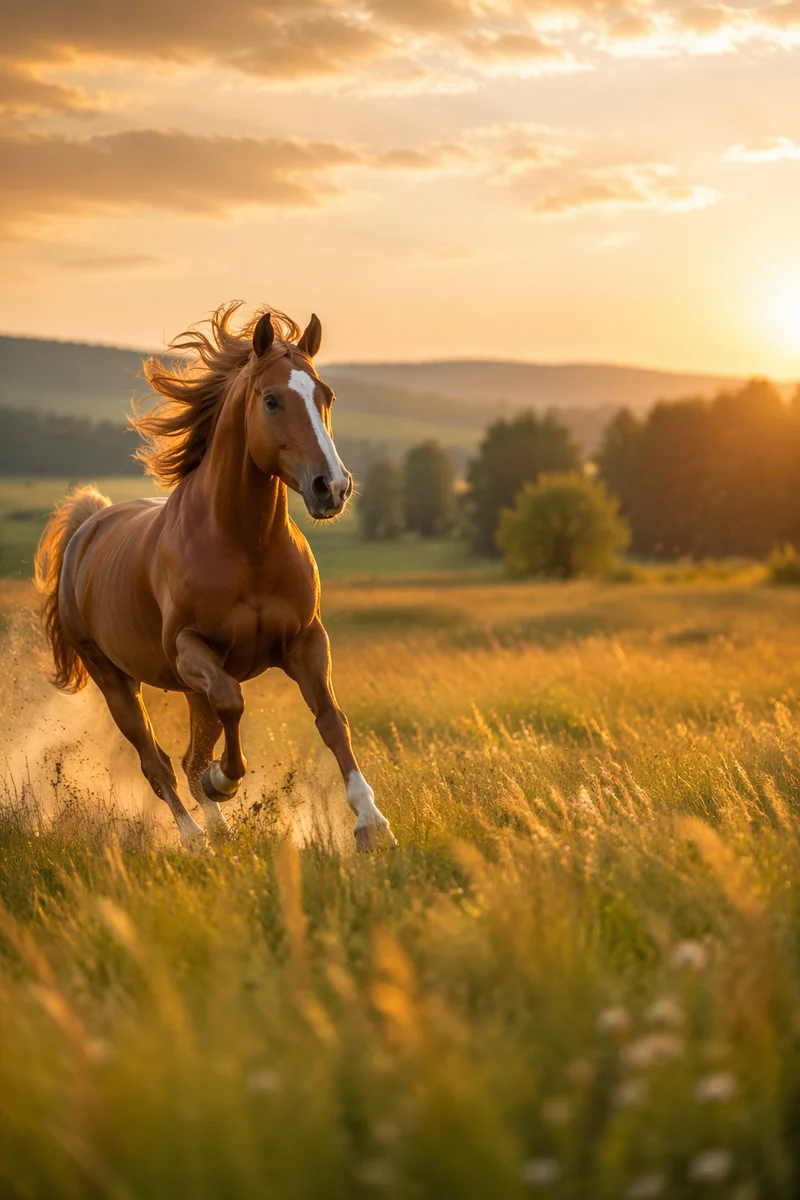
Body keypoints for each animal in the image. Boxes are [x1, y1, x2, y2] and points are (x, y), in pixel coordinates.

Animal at [34, 303, 396, 852]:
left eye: (326, 395)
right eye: (272, 400)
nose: (332, 487)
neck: (246, 548)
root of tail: (87, 529)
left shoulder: (306, 641)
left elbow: (333, 721)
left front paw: (371, 822)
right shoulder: (191, 648)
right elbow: (232, 701)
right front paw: (224, 781)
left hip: (186, 690)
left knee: (186, 757)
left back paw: (219, 831)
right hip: (115, 680)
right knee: (157, 763)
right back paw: (195, 838)